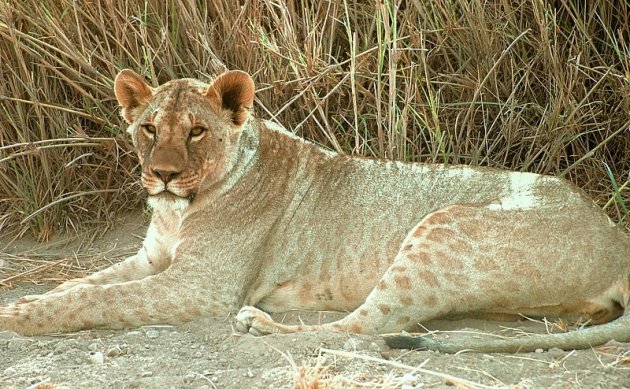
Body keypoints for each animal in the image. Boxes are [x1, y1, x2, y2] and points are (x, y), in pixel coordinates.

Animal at [0, 68, 628, 354]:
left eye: (197, 130)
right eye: (149, 128)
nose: (164, 174)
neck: (179, 210)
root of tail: (616, 236)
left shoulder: (201, 285)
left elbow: (103, 297)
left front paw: (22, 314)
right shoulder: (153, 257)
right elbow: (86, 281)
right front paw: (37, 297)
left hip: (441, 227)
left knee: (367, 327)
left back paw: (259, 323)